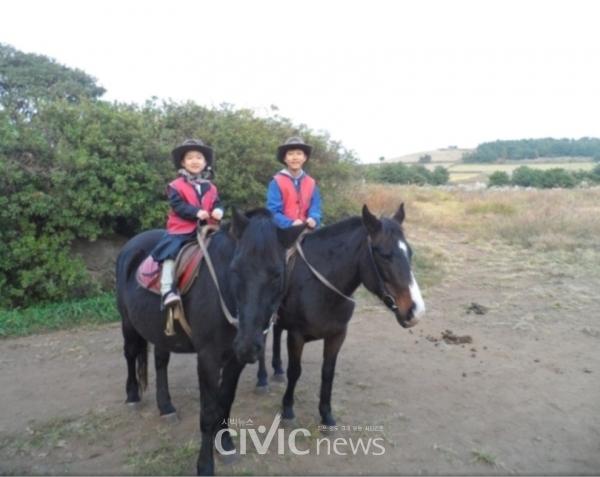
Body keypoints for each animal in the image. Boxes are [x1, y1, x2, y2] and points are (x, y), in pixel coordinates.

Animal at [115, 209, 308, 476]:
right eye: (235, 270)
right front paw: (205, 465)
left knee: (161, 361)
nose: (248, 345)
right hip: (128, 323)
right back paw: (133, 396)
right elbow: (208, 412)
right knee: (131, 353)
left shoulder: (236, 359)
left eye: (277, 273)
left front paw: (225, 444)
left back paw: (166, 407)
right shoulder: (208, 358)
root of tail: (130, 245)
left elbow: (225, 401)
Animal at [253, 203, 426, 426]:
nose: (416, 310)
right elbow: (295, 371)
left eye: (409, 253)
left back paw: (277, 369)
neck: (321, 288)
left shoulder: (337, 336)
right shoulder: (296, 336)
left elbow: (328, 373)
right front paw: (288, 410)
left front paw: (326, 415)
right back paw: (262, 379)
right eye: (384, 255)